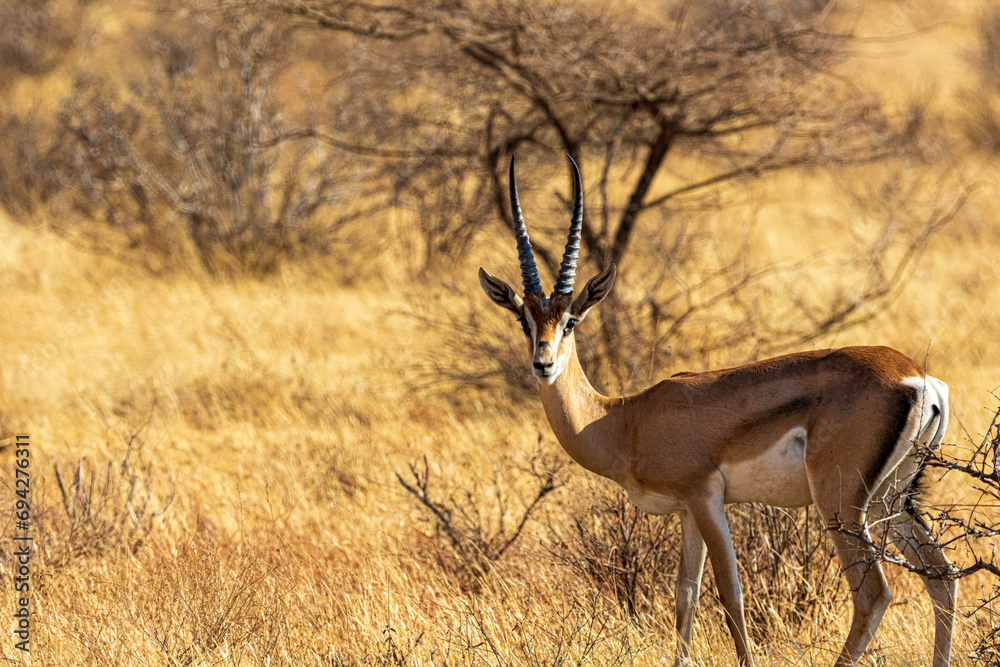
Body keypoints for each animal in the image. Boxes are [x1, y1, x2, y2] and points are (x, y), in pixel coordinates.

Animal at [478, 156, 958, 667]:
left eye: (571, 320)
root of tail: (917, 377)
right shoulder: (687, 512)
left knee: (873, 593)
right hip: (890, 499)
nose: (543, 363)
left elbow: (730, 595)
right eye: (523, 319)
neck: (624, 420)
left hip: (841, 502)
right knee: (942, 576)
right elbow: (685, 596)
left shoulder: (705, 497)